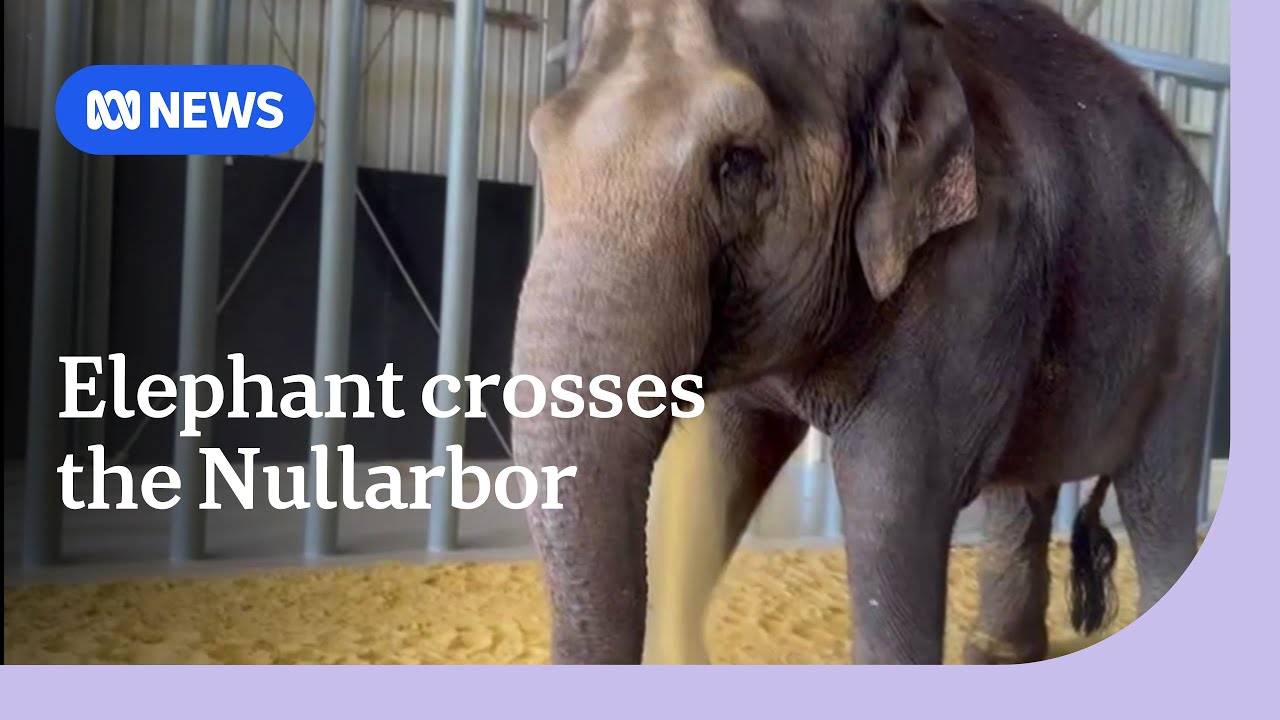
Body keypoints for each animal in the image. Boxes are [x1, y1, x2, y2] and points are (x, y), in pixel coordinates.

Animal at [510, 0, 1226, 665]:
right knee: (1026, 486)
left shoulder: (975, 266)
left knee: (1158, 495)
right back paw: (995, 653)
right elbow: (716, 465)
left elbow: (891, 501)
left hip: (1193, 321)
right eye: (541, 142)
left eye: (738, 162)